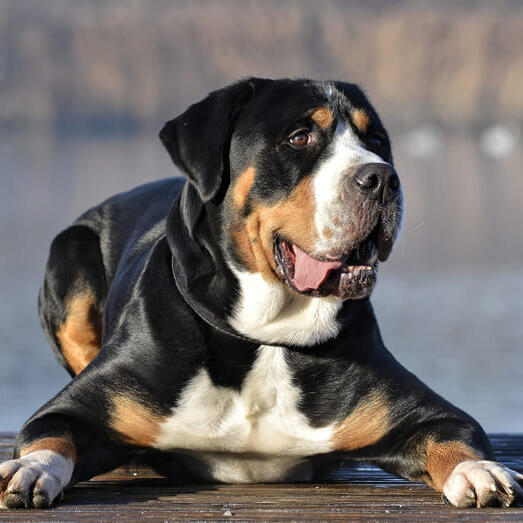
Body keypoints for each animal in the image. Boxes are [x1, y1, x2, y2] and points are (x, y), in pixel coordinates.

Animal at [1, 79, 523, 512]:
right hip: (70, 253)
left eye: (376, 142)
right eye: (299, 138)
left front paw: (480, 472)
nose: (382, 178)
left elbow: (457, 438)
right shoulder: (77, 408)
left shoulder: (422, 413)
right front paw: (29, 470)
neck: (266, 335)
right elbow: (50, 437)